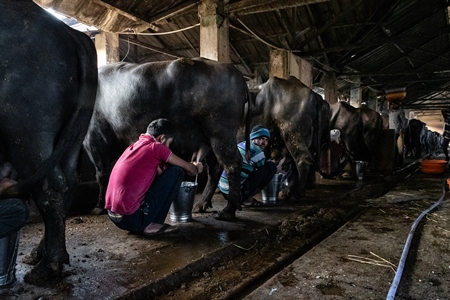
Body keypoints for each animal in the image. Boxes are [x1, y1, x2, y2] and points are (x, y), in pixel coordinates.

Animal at [0, 0, 97, 284]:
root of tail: (71, 33)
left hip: (26, 127)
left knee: (50, 186)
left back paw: (47, 267)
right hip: (72, 135)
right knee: (67, 182)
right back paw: (40, 254)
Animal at [82, 58, 248, 223]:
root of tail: (233, 71)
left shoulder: (94, 139)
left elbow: (102, 174)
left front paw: (99, 207)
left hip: (220, 133)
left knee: (232, 164)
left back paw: (228, 210)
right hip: (211, 139)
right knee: (215, 168)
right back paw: (201, 204)